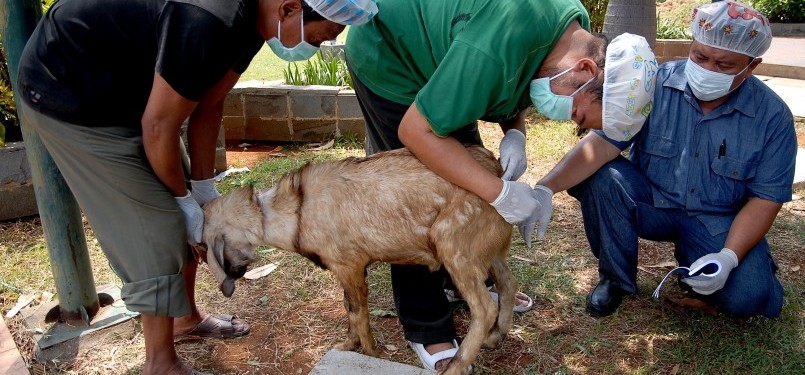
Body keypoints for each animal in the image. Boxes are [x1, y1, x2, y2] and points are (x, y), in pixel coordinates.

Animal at [199, 145, 516, 374]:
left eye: (203, 246)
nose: (234, 276)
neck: (295, 211)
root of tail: (498, 171)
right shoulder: (347, 270)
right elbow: (348, 307)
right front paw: (348, 344)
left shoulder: (349, 264)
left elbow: (357, 312)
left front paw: (370, 352)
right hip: (490, 250)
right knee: (507, 284)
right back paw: (496, 336)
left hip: (454, 246)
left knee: (484, 307)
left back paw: (456, 366)